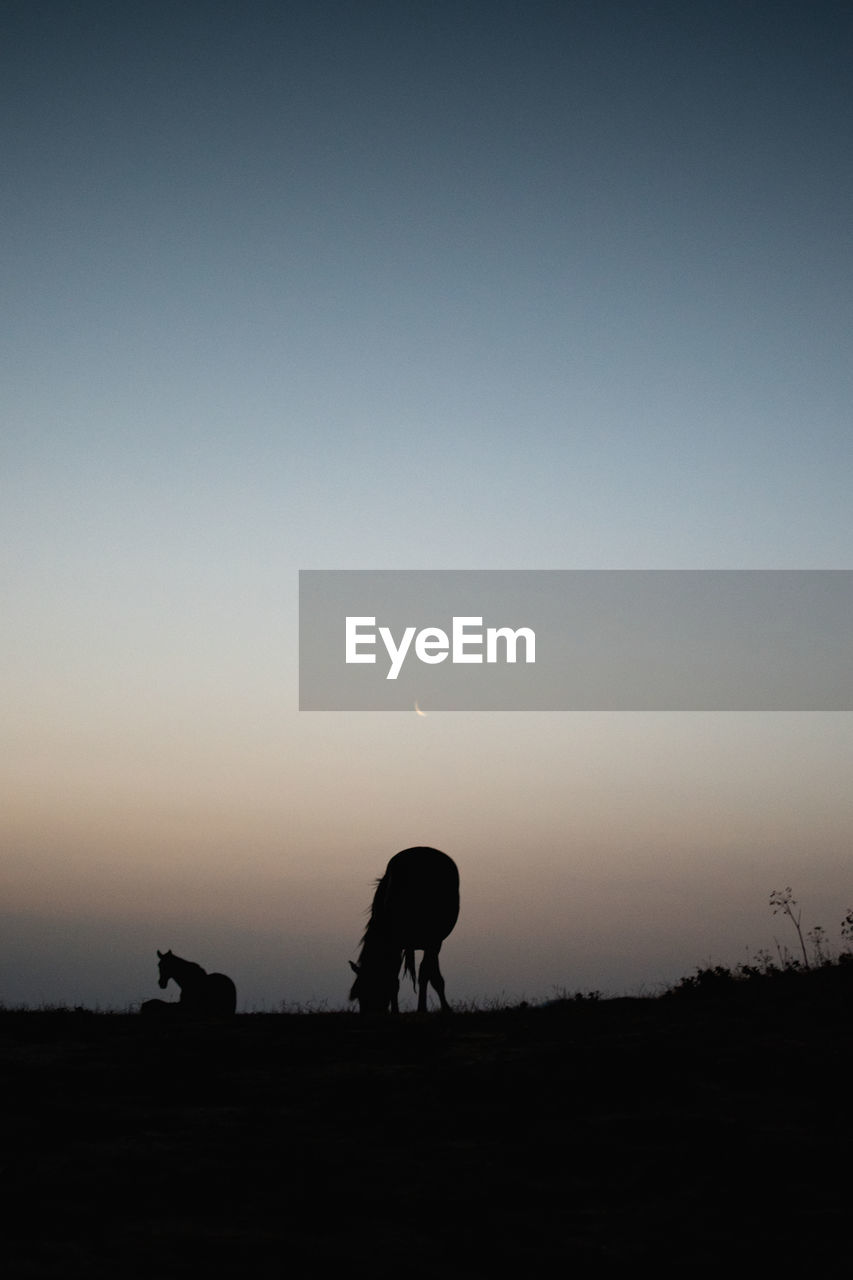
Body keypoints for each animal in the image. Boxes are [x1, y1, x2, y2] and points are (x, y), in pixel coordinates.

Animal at [348, 844, 458, 1013]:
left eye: (373, 988)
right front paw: (396, 1011)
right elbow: (395, 978)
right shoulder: (397, 944)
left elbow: (429, 975)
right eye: (360, 994)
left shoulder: (433, 942)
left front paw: (433, 1009)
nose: (371, 1014)